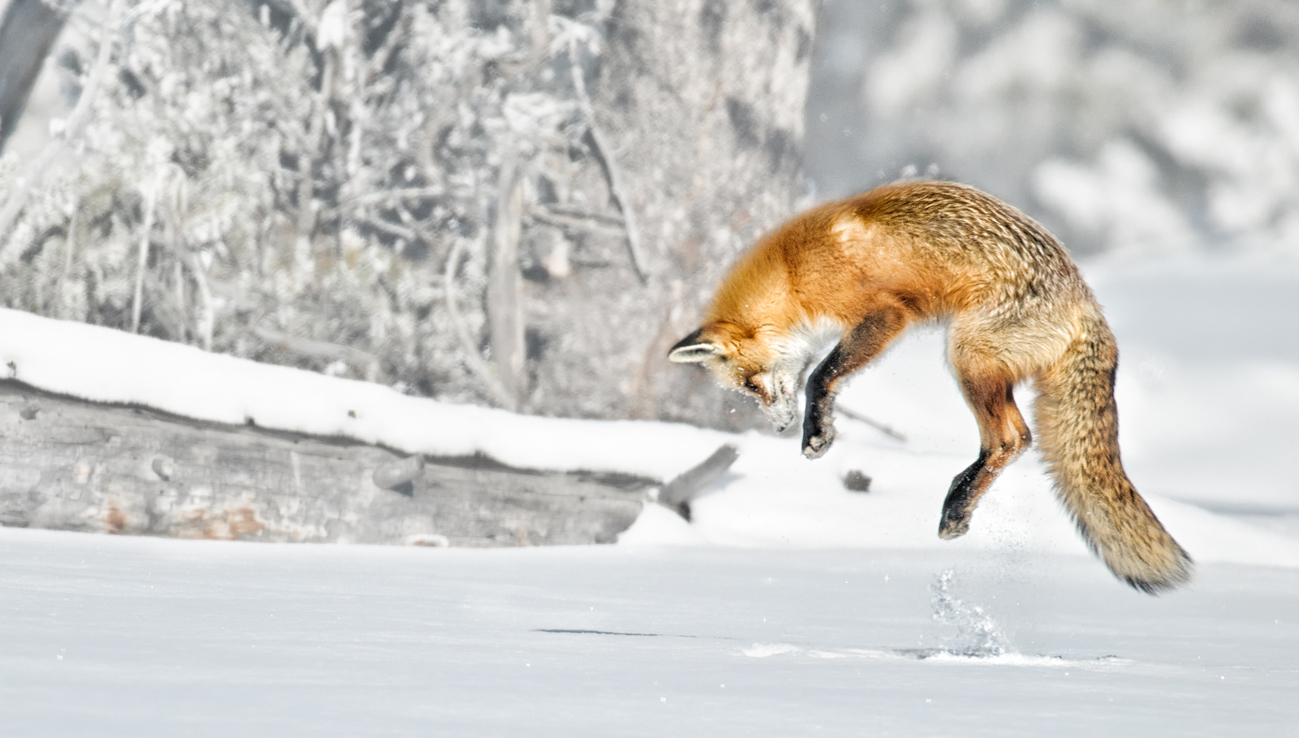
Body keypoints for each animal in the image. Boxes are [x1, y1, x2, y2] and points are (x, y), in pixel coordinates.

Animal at [675, 179, 1189, 595]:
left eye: (751, 383)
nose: (780, 428)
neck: (793, 271)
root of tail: (1087, 305)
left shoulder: (885, 314)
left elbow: (821, 375)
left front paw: (816, 433)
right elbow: (825, 378)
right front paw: (820, 428)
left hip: (967, 355)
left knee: (1009, 438)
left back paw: (956, 506)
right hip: (981, 364)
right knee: (1019, 438)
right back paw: (959, 505)